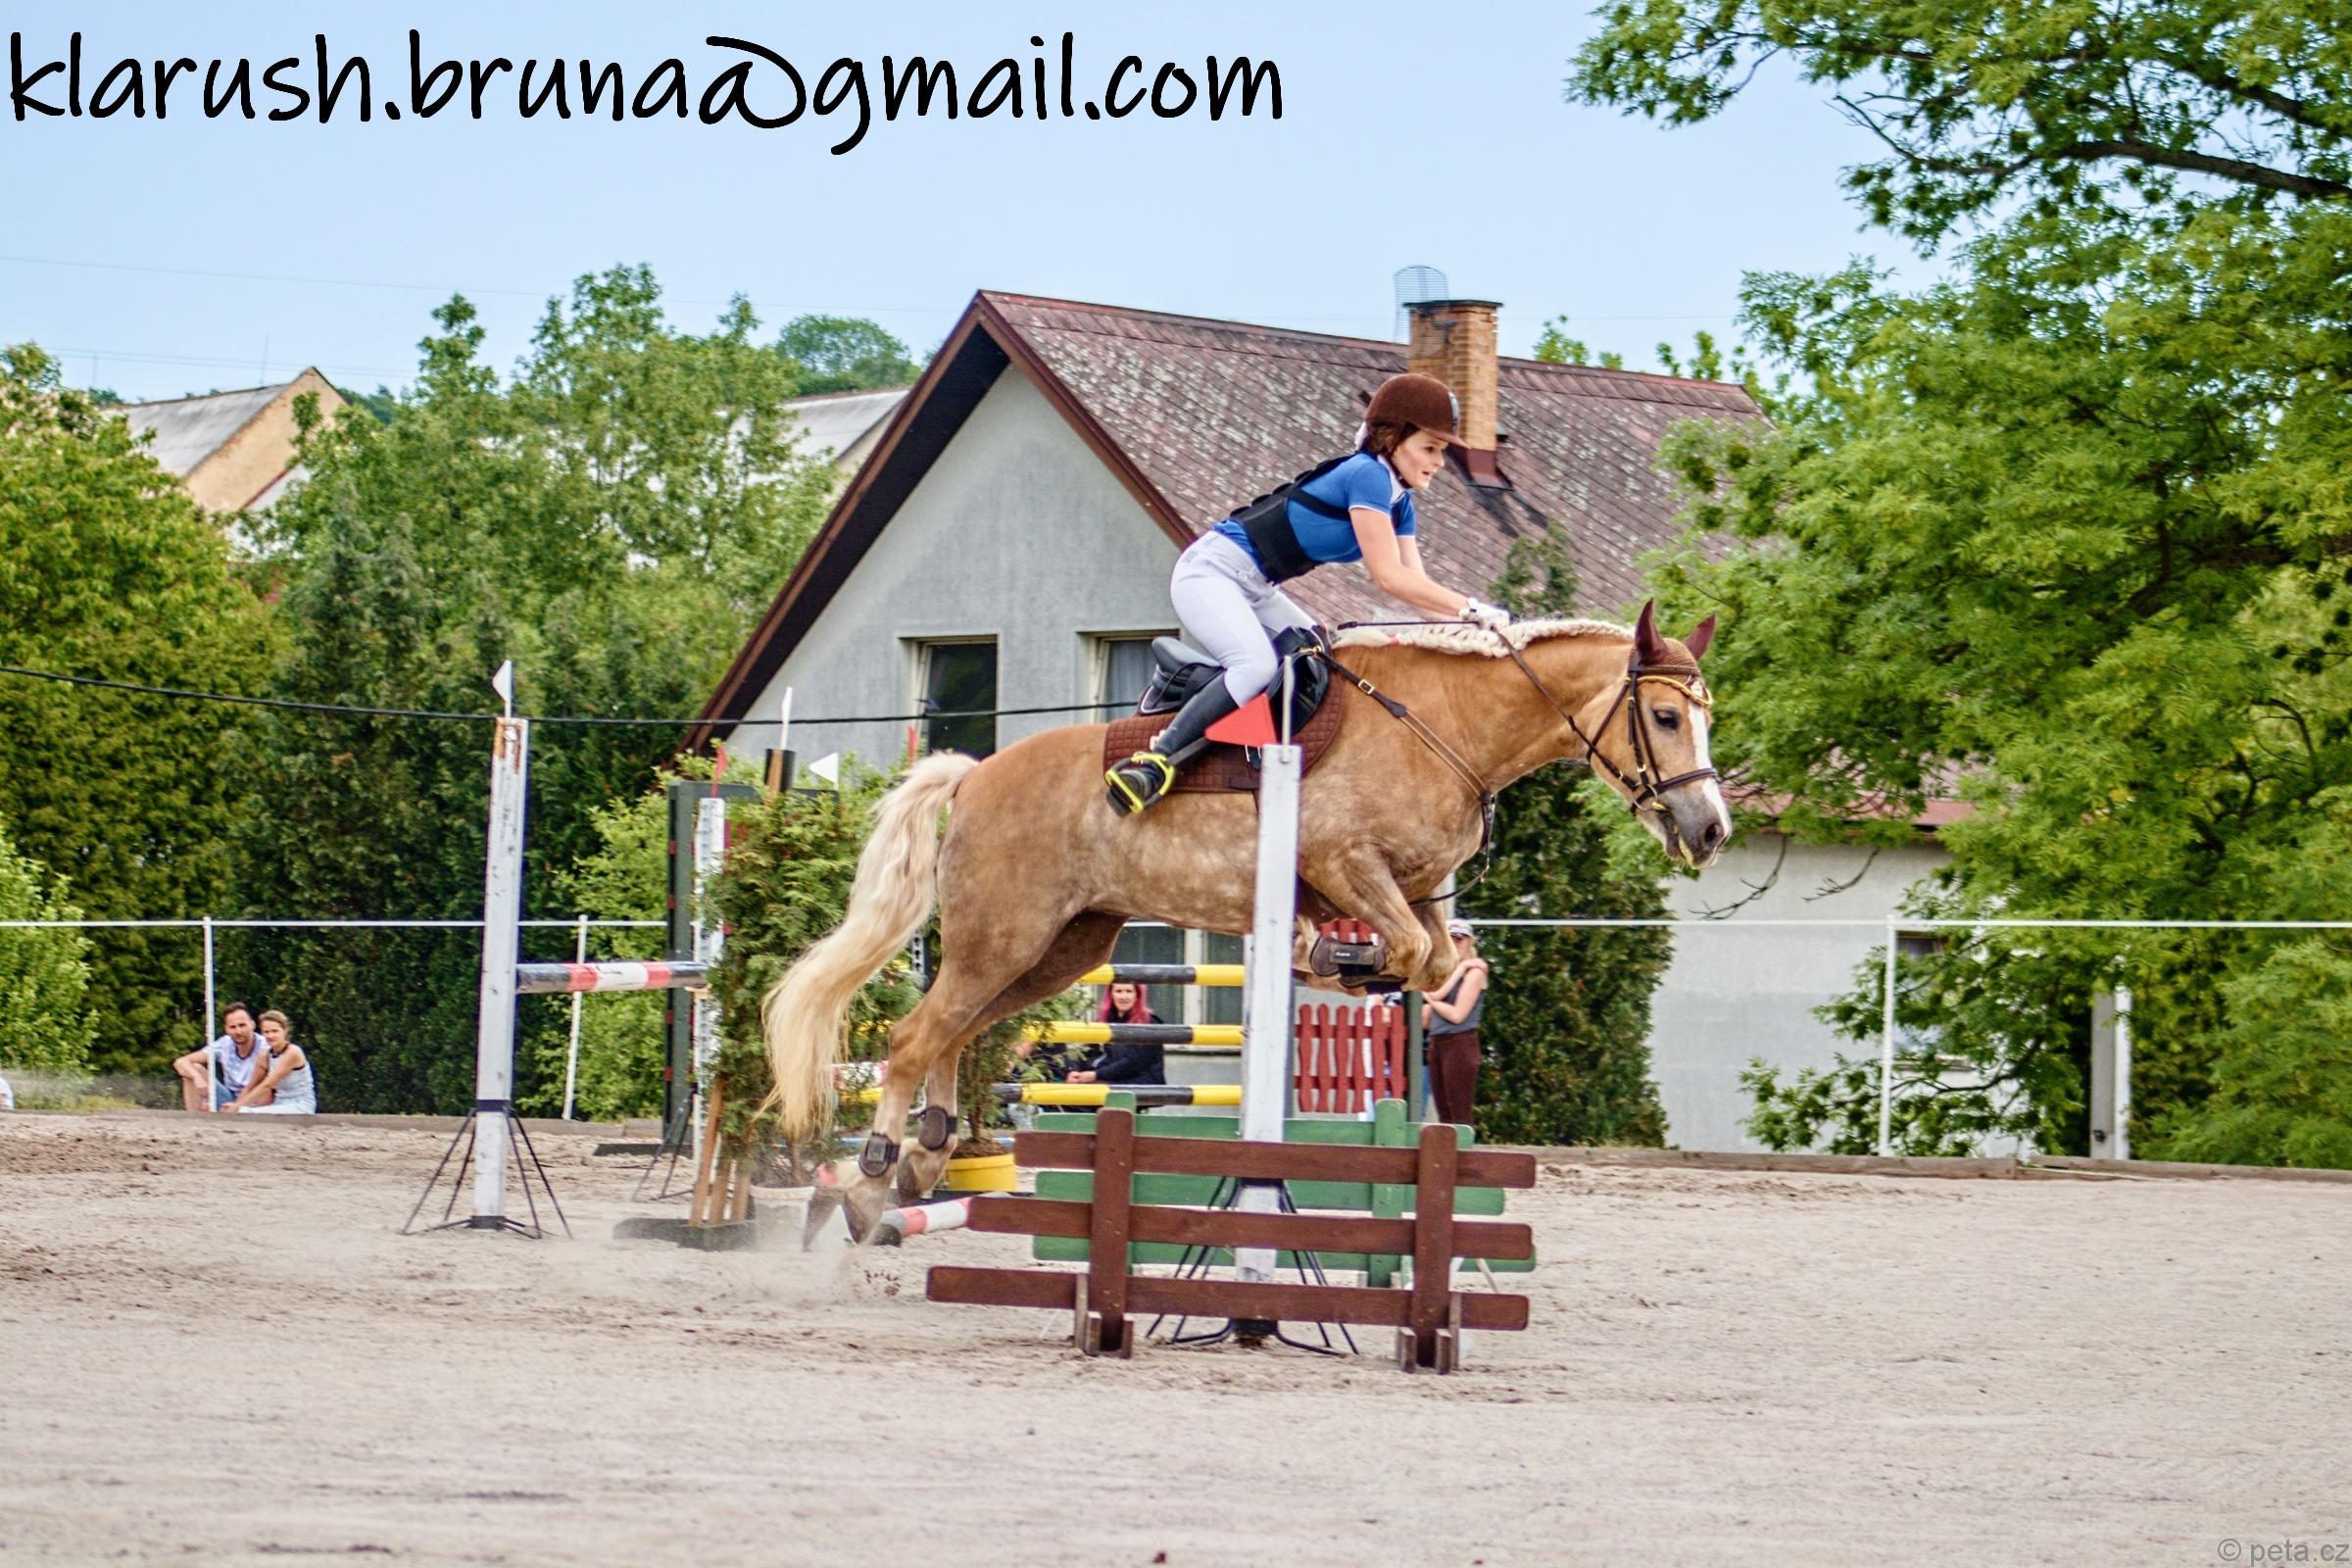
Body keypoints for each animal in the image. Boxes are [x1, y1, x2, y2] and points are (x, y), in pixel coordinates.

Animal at [763, 600, 1728, 1238]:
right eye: (1666, 716)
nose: (1710, 829)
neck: (1446, 725)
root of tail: (973, 775)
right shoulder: (1346, 864)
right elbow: (1407, 948)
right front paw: (1330, 959)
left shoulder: (1412, 889)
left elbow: (1431, 958)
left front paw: (1334, 962)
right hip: (1005, 937)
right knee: (918, 1035)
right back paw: (871, 1179)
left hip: (1060, 948)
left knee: (954, 1033)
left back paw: (924, 1157)